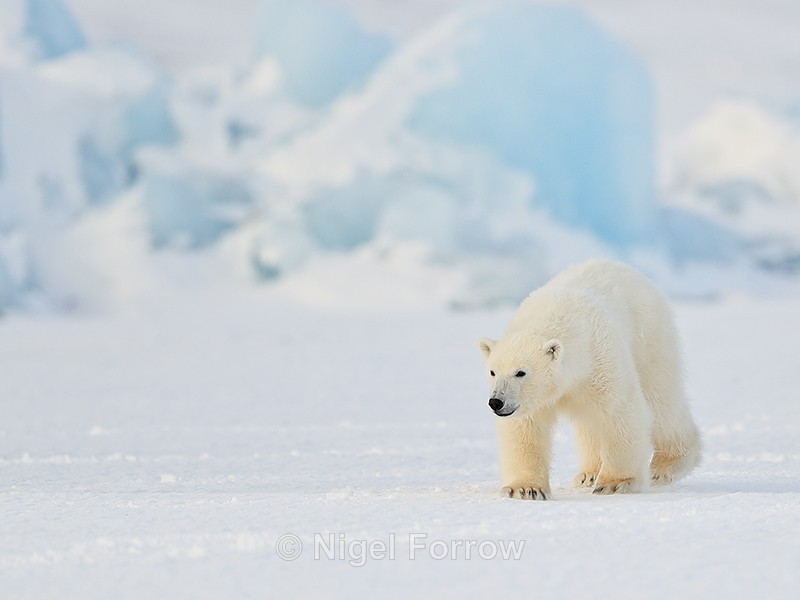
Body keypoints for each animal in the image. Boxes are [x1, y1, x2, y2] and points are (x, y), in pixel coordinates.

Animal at [478, 259, 701, 499]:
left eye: (521, 372)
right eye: (493, 372)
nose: (496, 402)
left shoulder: (600, 358)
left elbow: (620, 410)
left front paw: (615, 483)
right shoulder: (533, 400)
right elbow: (526, 428)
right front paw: (525, 488)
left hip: (650, 337)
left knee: (661, 399)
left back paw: (666, 465)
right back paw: (589, 474)